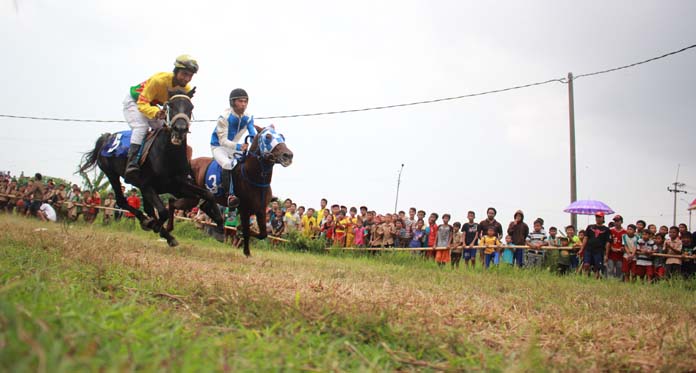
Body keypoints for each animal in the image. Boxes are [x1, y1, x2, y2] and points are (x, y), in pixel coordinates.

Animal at [80, 89, 224, 247]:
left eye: (190, 107)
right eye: (170, 105)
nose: (180, 129)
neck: (167, 155)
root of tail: (107, 137)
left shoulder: (178, 185)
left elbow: (207, 194)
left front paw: (219, 224)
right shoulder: (147, 185)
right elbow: (162, 212)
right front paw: (154, 225)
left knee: (146, 207)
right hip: (112, 174)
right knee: (122, 201)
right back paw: (149, 223)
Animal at [169, 125, 294, 256]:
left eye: (282, 136)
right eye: (268, 136)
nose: (288, 155)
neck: (254, 177)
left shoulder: (260, 210)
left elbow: (263, 234)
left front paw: (239, 231)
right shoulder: (244, 209)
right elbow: (247, 231)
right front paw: (246, 251)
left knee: (196, 205)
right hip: (191, 195)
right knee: (172, 202)